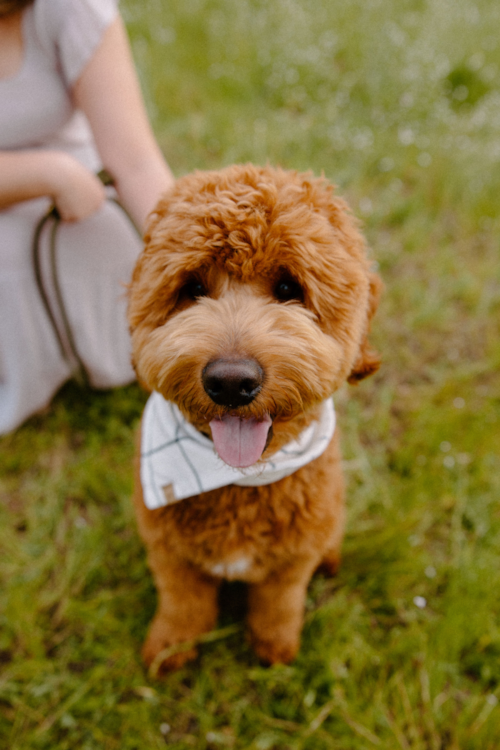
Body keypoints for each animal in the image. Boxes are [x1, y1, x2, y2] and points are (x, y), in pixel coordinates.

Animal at [127, 164, 380, 676]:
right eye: (192, 289)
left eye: (288, 288)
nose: (230, 381)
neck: (239, 480)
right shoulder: (169, 554)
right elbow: (182, 603)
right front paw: (169, 648)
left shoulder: (291, 562)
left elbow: (278, 605)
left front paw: (274, 649)